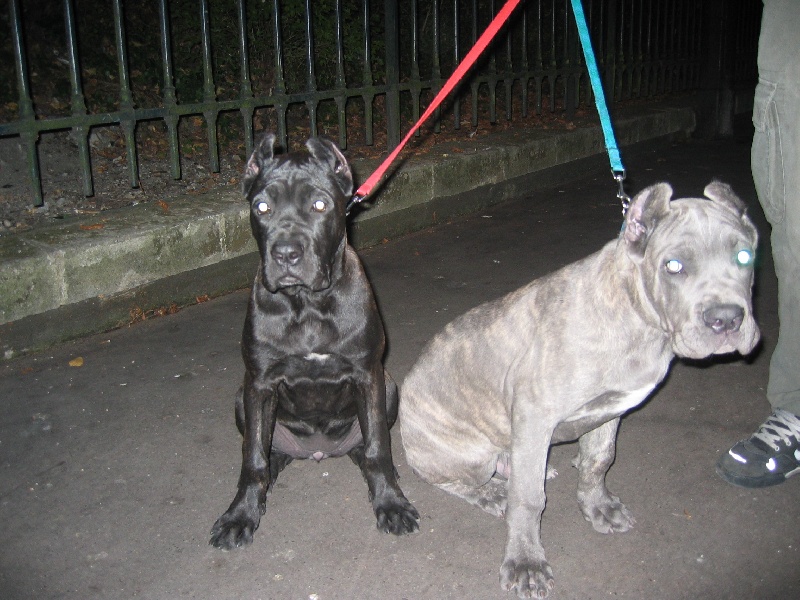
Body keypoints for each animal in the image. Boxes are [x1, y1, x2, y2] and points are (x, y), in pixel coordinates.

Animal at [209, 134, 419, 550]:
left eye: (320, 205)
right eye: (262, 207)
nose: (286, 254)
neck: (306, 303)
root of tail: (320, 452)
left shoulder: (368, 375)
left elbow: (378, 448)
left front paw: (391, 503)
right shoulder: (258, 383)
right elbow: (252, 458)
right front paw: (241, 514)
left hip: (389, 387)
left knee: (369, 445)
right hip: (242, 399)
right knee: (265, 452)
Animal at [399, 182, 760, 598]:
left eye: (745, 256)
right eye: (673, 265)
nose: (726, 319)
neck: (637, 317)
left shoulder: (610, 410)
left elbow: (598, 460)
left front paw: (597, 506)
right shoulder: (535, 414)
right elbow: (528, 499)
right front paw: (526, 561)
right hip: (469, 454)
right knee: (449, 479)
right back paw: (491, 492)